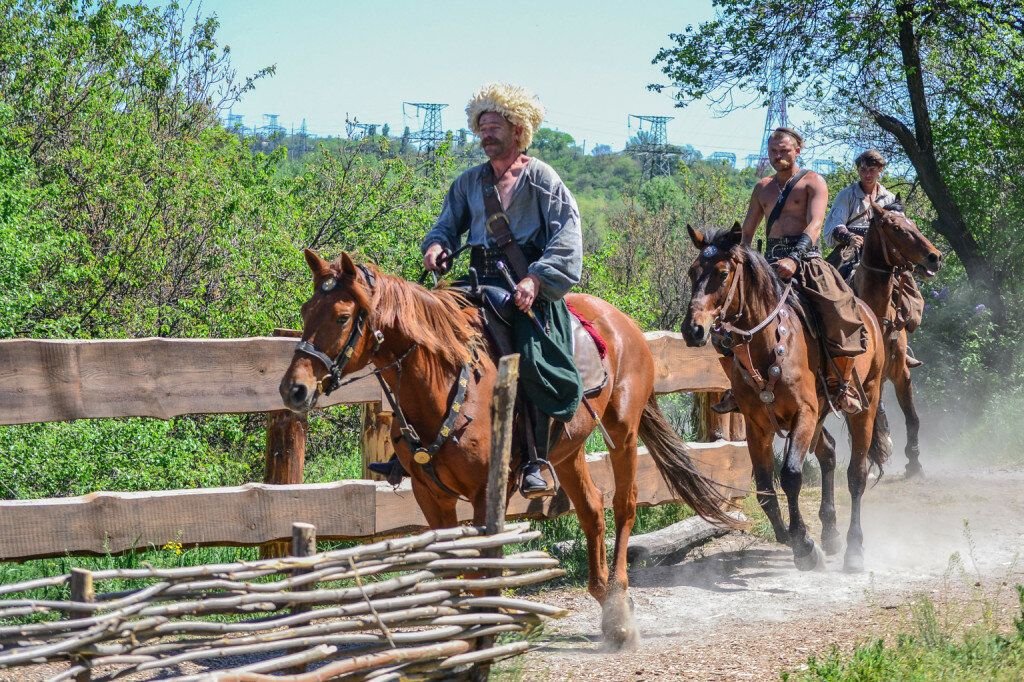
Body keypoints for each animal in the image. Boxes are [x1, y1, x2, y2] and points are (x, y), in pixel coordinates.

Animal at [278, 248, 737, 647]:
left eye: (342, 317)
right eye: (305, 311)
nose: (293, 389)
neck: (445, 383)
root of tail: (622, 323)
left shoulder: (485, 494)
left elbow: (483, 565)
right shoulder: (430, 496)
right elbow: (453, 567)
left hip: (623, 432)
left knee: (624, 506)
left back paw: (620, 610)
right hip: (567, 452)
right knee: (592, 510)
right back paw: (604, 598)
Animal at [688, 225, 888, 569]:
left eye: (723, 273)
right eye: (692, 272)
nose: (693, 330)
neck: (770, 343)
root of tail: (869, 316)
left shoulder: (803, 415)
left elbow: (791, 476)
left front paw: (804, 545)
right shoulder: (758, 427)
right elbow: (765, 488)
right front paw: (790, 536)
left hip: (866, 403)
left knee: (857, 474)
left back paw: (854, 549)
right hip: (821, 413)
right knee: (829, 453)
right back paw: (830, 534)